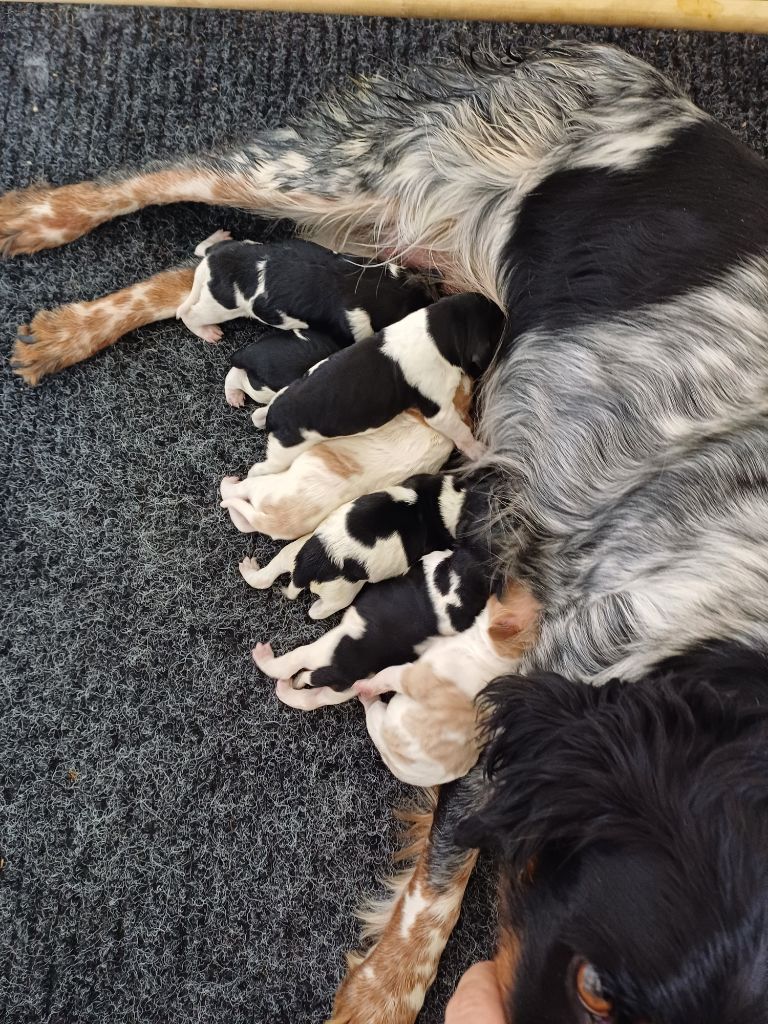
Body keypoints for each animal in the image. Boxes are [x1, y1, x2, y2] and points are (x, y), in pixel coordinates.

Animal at [177, 232, 436, 344]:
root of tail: (211, 260)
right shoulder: (357, 326)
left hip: (243, 245)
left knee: (205, 245)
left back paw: (218, 237)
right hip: (219, 305)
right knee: (188, 313)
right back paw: (208, 333)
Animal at [239, 468, 468, 614]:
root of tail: (307, 569)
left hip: (296, 549)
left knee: (266, 576)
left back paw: (248, 568)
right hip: (342, 594)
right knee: (318, 612)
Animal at [249, 290, 507, 473]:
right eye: (498, 329)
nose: (506, 312)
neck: (435, 334)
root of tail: (274, 416)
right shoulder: (439, 411)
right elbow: (461, 431)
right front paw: (476, 449)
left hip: (282, 396)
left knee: (260, 412)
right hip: (284, 452)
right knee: (259, 470)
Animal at [256, 544, 489, 704]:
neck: (459, 591)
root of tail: (339, 672)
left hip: (320, 651)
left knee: (289, 664)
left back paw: (264, 657)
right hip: (345, 689)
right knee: (313, 698)